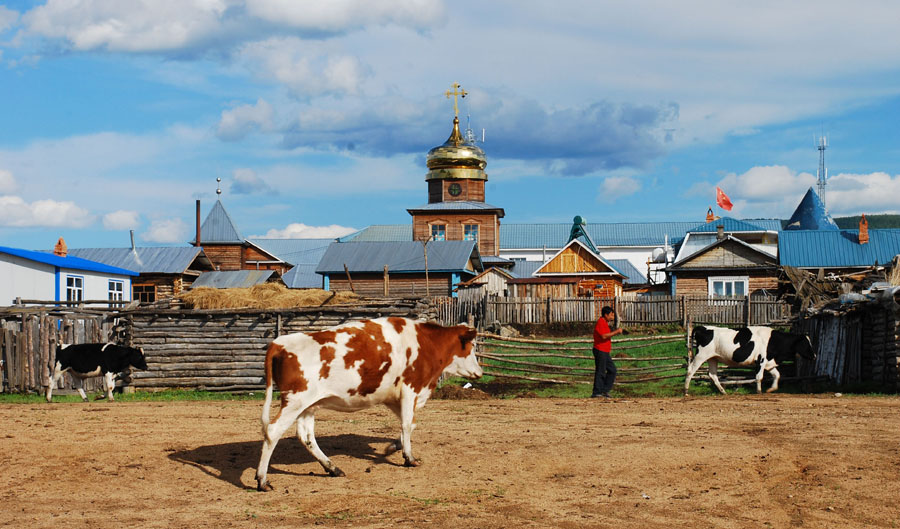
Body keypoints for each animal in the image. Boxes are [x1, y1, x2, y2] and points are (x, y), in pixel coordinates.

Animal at [255, 316, 478, 488]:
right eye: (472, 347)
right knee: (273, 431)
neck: (426, 343)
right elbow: (407, 425)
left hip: (308, 405)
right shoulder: (410, 389)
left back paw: (332, 468)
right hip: (295, 401)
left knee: (306, 436)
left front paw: (392, 447)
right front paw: (409, 457)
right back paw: (262, 479)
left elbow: (409, 425)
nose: (479, 371)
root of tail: (279, 343)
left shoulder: (393, 395)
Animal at [688, 324, 816, 394]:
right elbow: (759, 377)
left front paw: (771, 389)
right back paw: (686, 391)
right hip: (701, 355)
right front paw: (759, 391)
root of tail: (704, 328)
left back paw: (723, 392)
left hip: (713, 358)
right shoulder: (761, 360)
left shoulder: (769, 363)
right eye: (806, 343)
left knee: (712, 375)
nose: (814, 356)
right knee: (690, 370)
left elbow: (777, 375)